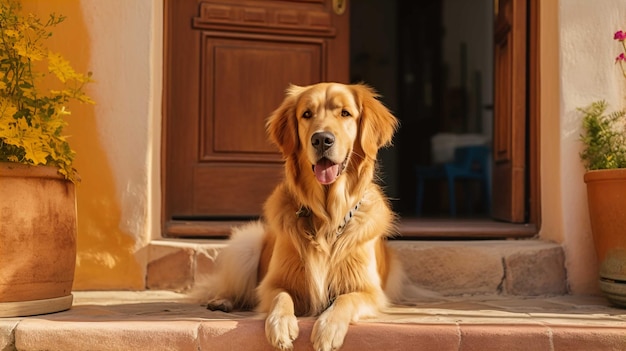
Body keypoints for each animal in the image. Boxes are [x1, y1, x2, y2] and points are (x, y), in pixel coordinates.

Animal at [207, 83, 404, 351]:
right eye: (307, 114)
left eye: (345, 113)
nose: (322, 139)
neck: (327, 218)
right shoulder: (273, 283)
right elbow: (281, 296)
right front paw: (280, 324)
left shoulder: (369, 291)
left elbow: (345, 299)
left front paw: (328, 328)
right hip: (246, 244)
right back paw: (222, 301)